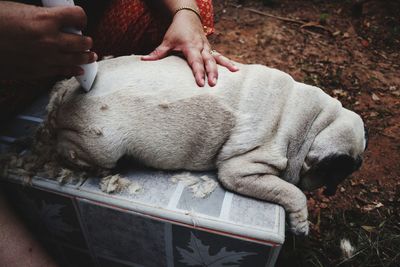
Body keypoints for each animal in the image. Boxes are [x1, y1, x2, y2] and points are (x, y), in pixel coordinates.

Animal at [46, 55, 366, 236]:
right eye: (340, 172)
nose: (360, 162)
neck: (314, 124)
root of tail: (67, 89)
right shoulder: (241, 171)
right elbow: (291, 192)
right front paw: (300, 223)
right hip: (103, 145)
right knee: (68, 147)